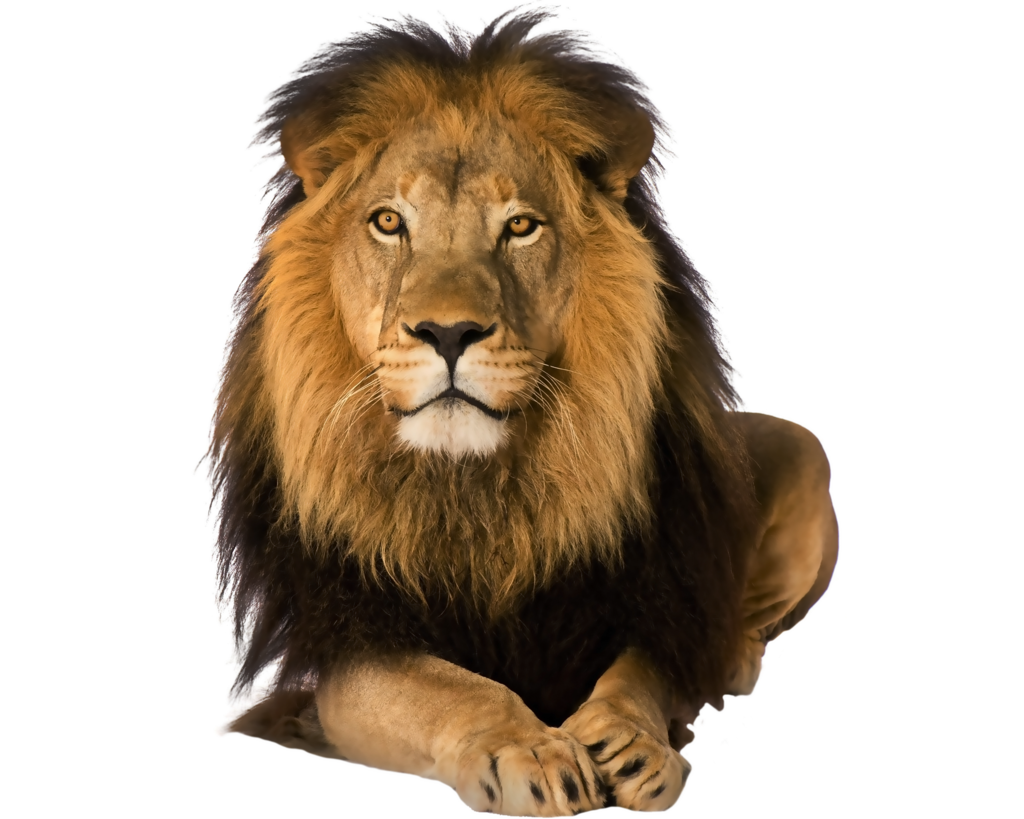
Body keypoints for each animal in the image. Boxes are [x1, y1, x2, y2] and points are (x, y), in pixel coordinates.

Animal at [195, 6, 842, 817]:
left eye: (520, 226)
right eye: (388, 222)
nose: (448, 333)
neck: (479, 489)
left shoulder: (652, 596)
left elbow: (641, 672)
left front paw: (631, 741)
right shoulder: (343, 645)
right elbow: (449, 688)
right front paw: (529, 748)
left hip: (797, 448)